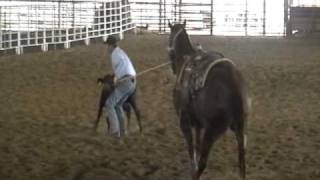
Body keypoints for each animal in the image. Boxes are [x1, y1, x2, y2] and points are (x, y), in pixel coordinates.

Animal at [168, 20, 250, 180]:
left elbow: (191, 147)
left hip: (212, 131)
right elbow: (197, 145)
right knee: (242, 160)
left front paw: (192, 166)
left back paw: (195, 175)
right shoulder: (198, 123)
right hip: (240, 127)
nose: (173, 67)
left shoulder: (184, 121)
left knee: (203, 162)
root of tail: (234, 85)